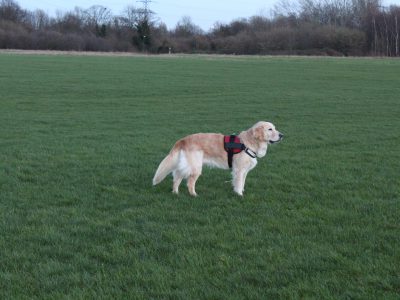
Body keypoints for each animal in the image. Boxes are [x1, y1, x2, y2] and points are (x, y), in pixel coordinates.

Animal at [152, 122, 282, 197]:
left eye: (275, 128)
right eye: (270, 129)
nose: (282, 135)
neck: (248, 143)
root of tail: (183, 139)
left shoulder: (244, 170)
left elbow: (242, 182)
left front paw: (241, 191)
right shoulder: (239, 170)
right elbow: (239, 183)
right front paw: (239, 194)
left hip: (185, 166)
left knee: (177, 178)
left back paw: (175, 193)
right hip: (195, 167)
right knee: (190, 183)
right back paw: (194, 195)